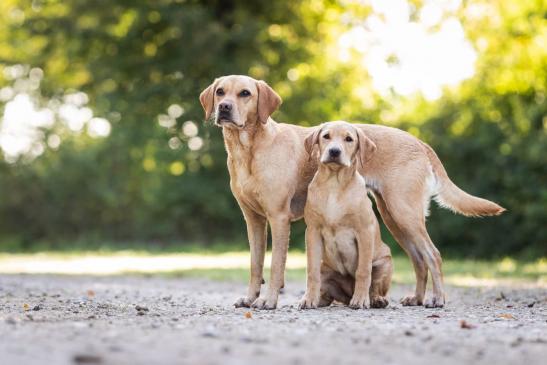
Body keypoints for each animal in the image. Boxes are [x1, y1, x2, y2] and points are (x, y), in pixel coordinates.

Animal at [298, 121, 392, 308]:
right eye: (326, 136)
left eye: (349, 139)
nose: (334, 151)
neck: (334, 184)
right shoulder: (312, 231)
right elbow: (311, 272)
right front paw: (308, 299)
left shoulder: (364, 231)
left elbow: (363, 271)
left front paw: (361, 299)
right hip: (326, 270)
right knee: (327, 293)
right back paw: (319, 299)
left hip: (384, 263)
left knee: (374, 285)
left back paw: (375, 299)